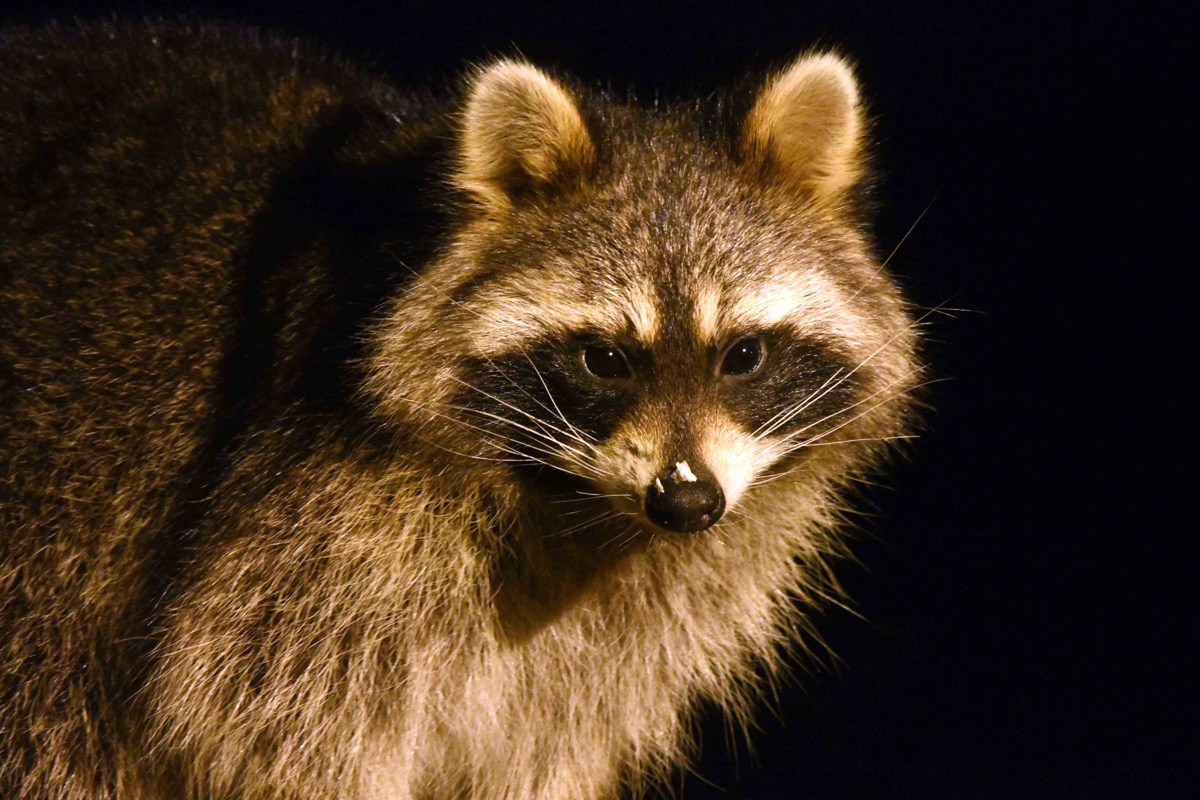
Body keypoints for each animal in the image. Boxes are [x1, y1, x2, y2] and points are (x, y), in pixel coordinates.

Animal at [0, 20, 919, 800]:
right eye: (604, 359)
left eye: (744, 356)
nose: (686, 500)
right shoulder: (314, 527)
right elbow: (243, 715)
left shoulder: (636, 619)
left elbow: (549, 743)